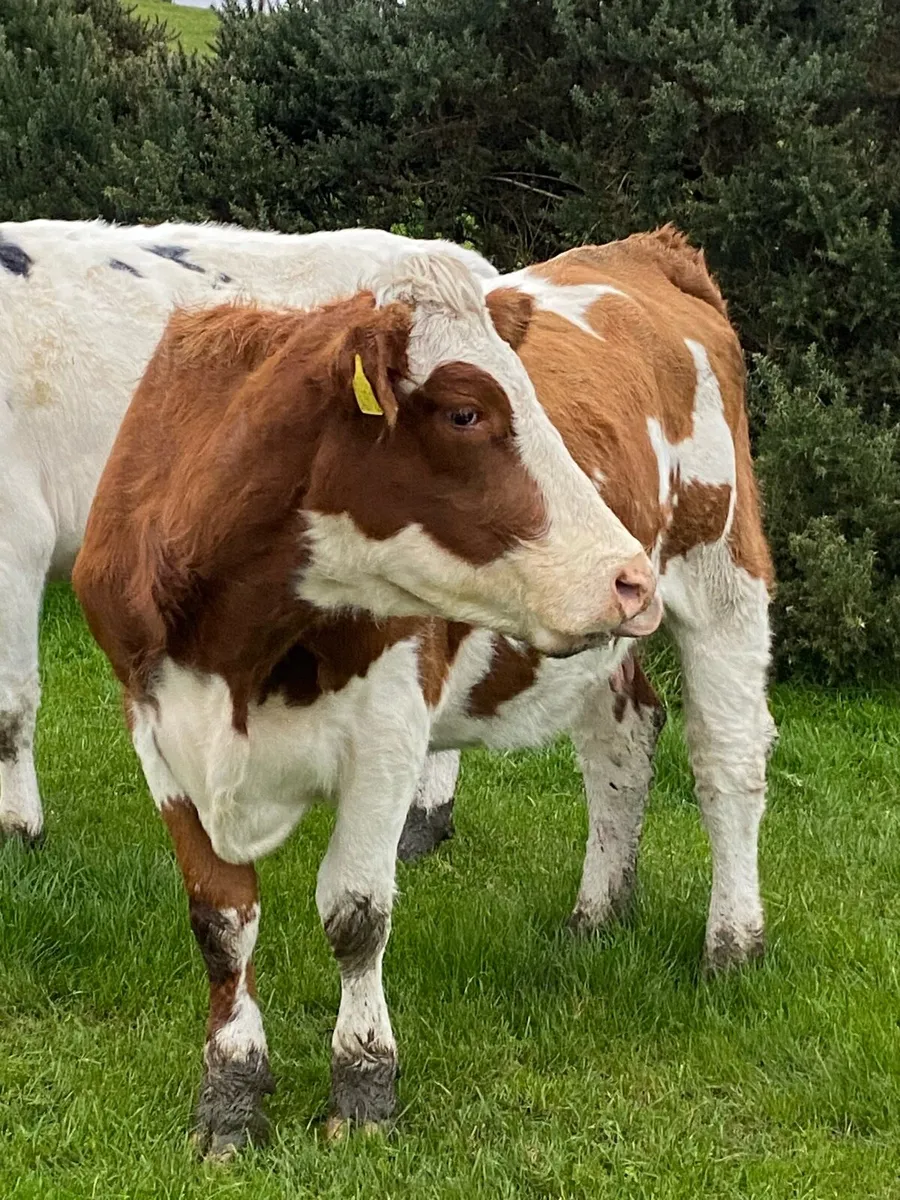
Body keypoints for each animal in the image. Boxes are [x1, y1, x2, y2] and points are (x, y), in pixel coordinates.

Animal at [73, 226, 771, 1156]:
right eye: (466, 412)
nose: (625, 578)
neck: (234, 644)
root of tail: (644, 250)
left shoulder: (387, 727)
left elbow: (355, 912)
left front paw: (364, 1087)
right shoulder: (156, 727)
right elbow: (220, 922)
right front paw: (229, 1095)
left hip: (727, 576)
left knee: (727, 764)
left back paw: (733, 944)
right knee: (621, 741)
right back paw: (597, 914)